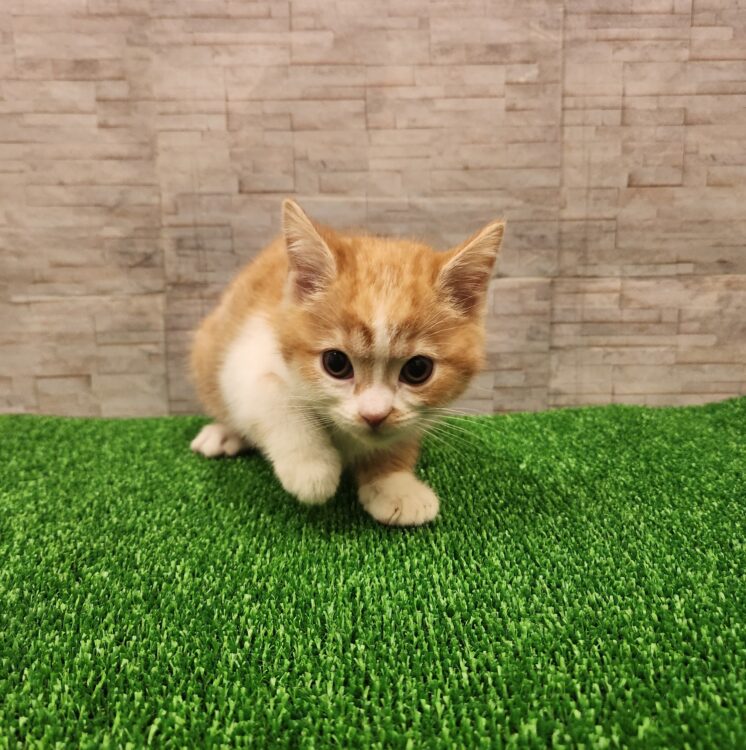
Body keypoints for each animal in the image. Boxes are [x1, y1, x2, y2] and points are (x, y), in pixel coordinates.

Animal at [190, 199, 504, 526]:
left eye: (418, 370)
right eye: (336, 364)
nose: (374, 415)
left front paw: (393, 482)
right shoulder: (250, 351)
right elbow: (270, 395)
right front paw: (311, 467)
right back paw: (224, 433)